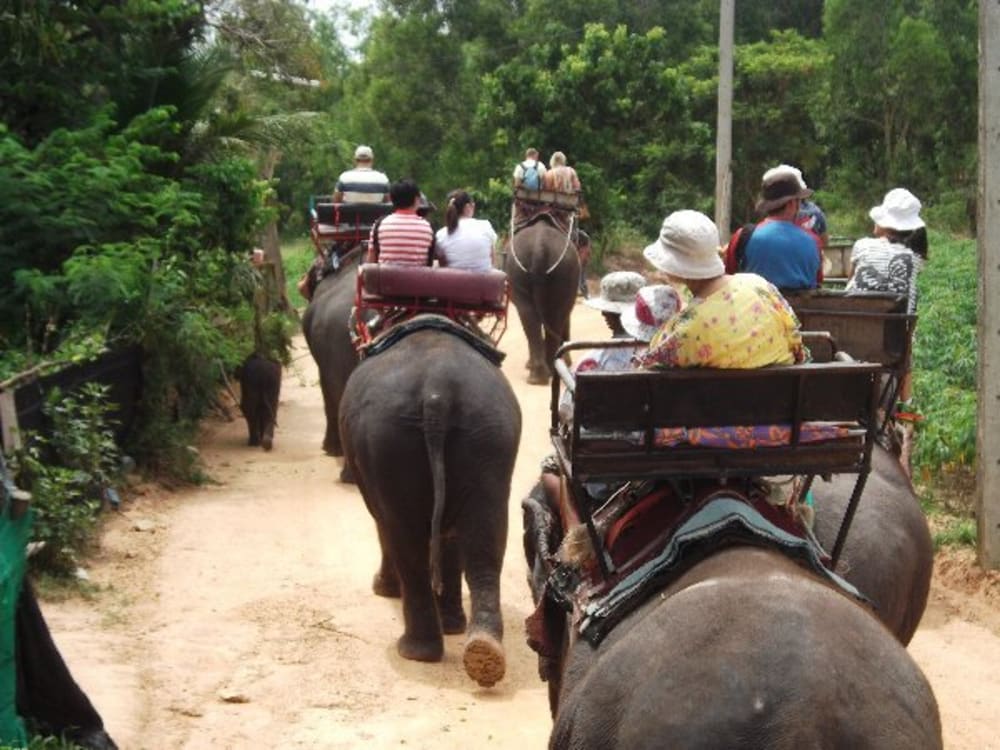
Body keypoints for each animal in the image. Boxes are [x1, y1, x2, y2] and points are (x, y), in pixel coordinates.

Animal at [338, 328, 520, 688]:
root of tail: (438, 393)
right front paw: (452, 624)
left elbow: (384, 523)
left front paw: (383, 590)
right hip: (490, 434)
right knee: (486, 538)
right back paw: (484, 652)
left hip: (386, 441)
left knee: (402, 535)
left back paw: (415, 651)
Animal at [504, 216, 584, 382]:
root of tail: (540, 248)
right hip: (565, 272)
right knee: (554, 316)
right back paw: (549, 370)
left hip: (518, 270)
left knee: (528, 315)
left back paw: (539, 376)